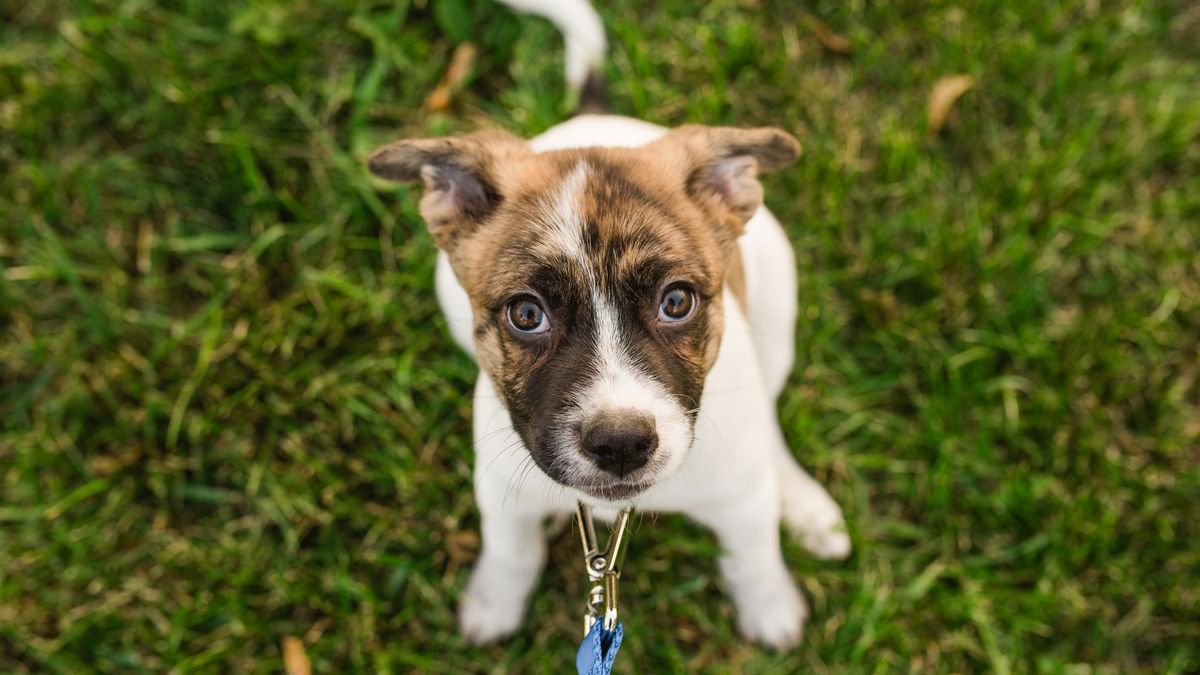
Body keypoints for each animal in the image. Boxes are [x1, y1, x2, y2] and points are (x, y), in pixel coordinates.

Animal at [369, 1, 849, 653]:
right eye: (526, 314)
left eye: (677, 301)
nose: (621, 444)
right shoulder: (499, 489)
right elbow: (510, 548)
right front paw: (493, 604)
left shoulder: (742, 500)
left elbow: (753, 553)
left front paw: (770, 607)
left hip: (778, 289)